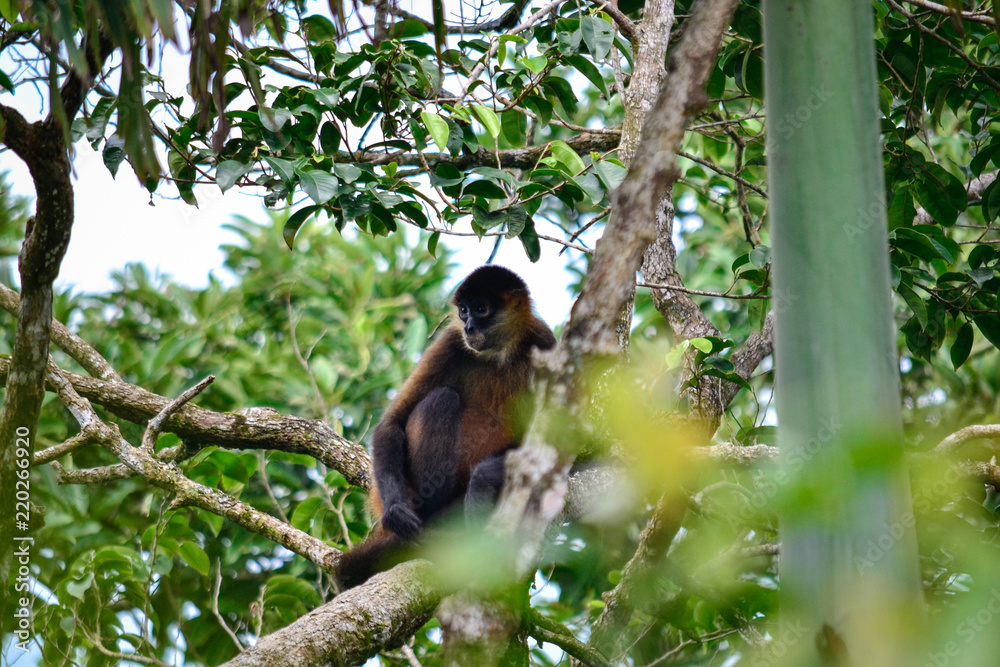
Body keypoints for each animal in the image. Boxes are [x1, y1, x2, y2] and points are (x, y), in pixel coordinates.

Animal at [335, 265, 556, 589]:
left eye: (481, 309)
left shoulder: (544, 340)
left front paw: (482, 481)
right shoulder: (451, 341)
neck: (499, 353)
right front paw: (396, 513)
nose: (469, 328)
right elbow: (392, 422)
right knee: (442, 397)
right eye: (463, 311)